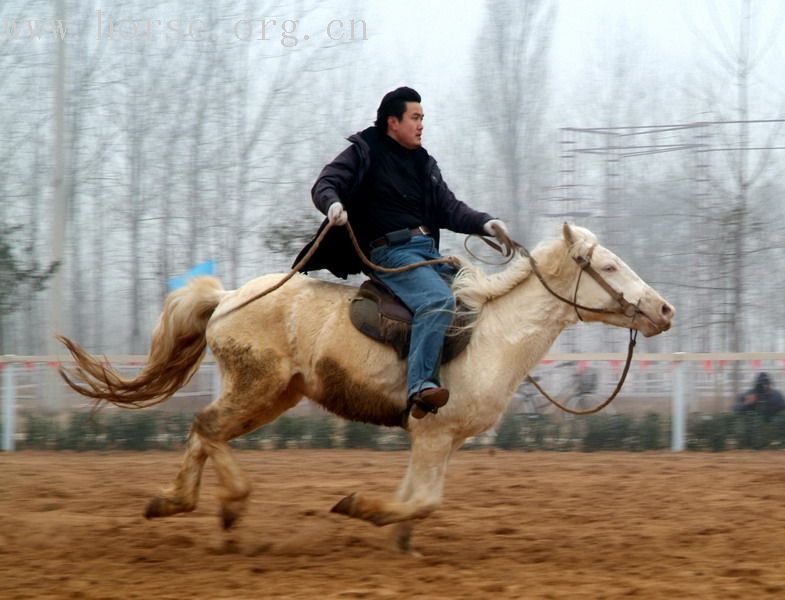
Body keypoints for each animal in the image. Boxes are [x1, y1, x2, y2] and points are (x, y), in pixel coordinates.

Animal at [59, 224, 672, 552]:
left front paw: (400, 541)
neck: (492, 333)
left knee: (204, 432)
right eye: (609, 268)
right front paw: (360, 508)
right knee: (207, 428)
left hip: (273, 395)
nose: (664, 309)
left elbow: (416, 500)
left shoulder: (439, 439)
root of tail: (227, 297)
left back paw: (177, 502)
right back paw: (227, 505)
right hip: (258, 387)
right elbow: (422, 499)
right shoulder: (434, 433)